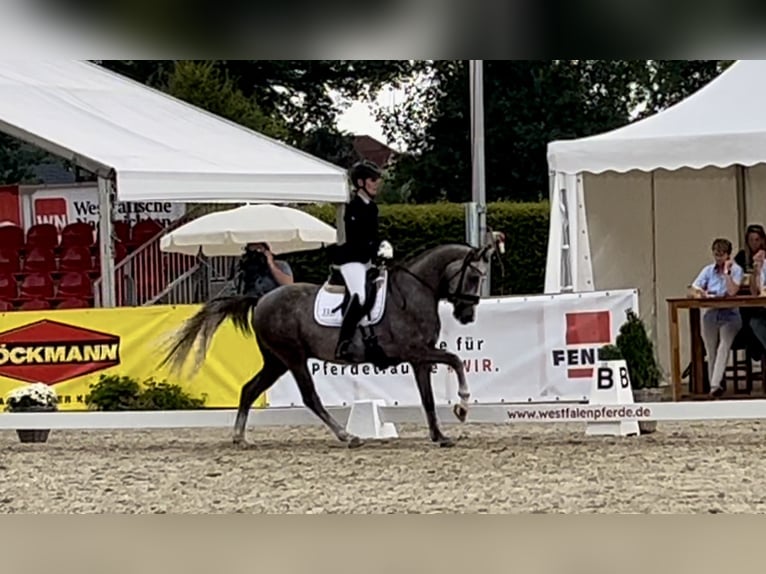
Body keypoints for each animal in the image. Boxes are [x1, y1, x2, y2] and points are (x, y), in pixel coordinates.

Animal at [160, 234, 504, 450]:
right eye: (474, 277)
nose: (466, 315)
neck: (415, 292)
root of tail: (261, 299)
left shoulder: (419, 358)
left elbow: (428, 398)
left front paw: (440, 435)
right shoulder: (416, 351)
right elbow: (456, 360)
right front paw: (462, 407)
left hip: (276, 361)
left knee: (249, 389)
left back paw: (240, 438)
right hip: (293, 358)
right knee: (310, 397)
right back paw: (348, 436)